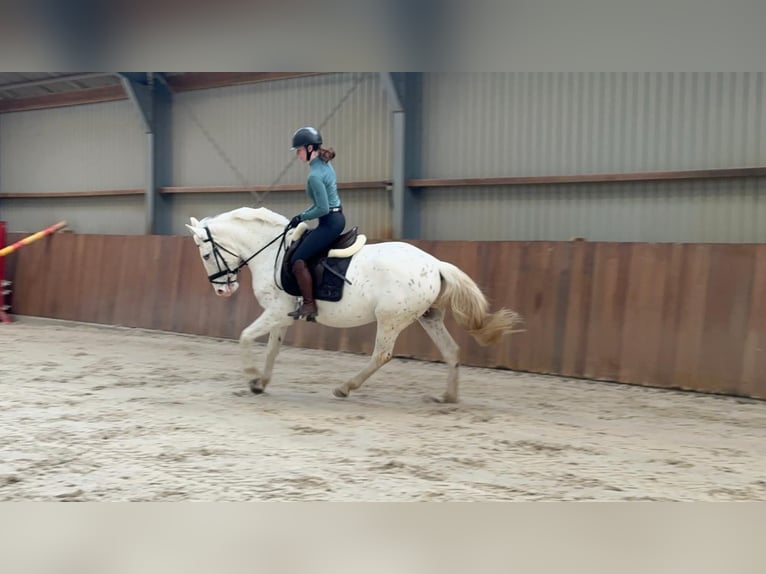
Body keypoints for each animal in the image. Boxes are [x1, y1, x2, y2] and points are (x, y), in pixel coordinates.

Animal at [188, 208, 520, 404]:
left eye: (205, 255)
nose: (224, 289)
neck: (271, 252)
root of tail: (435, 264)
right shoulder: (282, 316)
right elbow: (272, 350)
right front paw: (260, 383)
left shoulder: (275, 312)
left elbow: (244, 336)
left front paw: (251, 375)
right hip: (429, 317)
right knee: (451, 351)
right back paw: (447, 397)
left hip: (390, 319)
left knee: (382, 355)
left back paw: (345, 387)